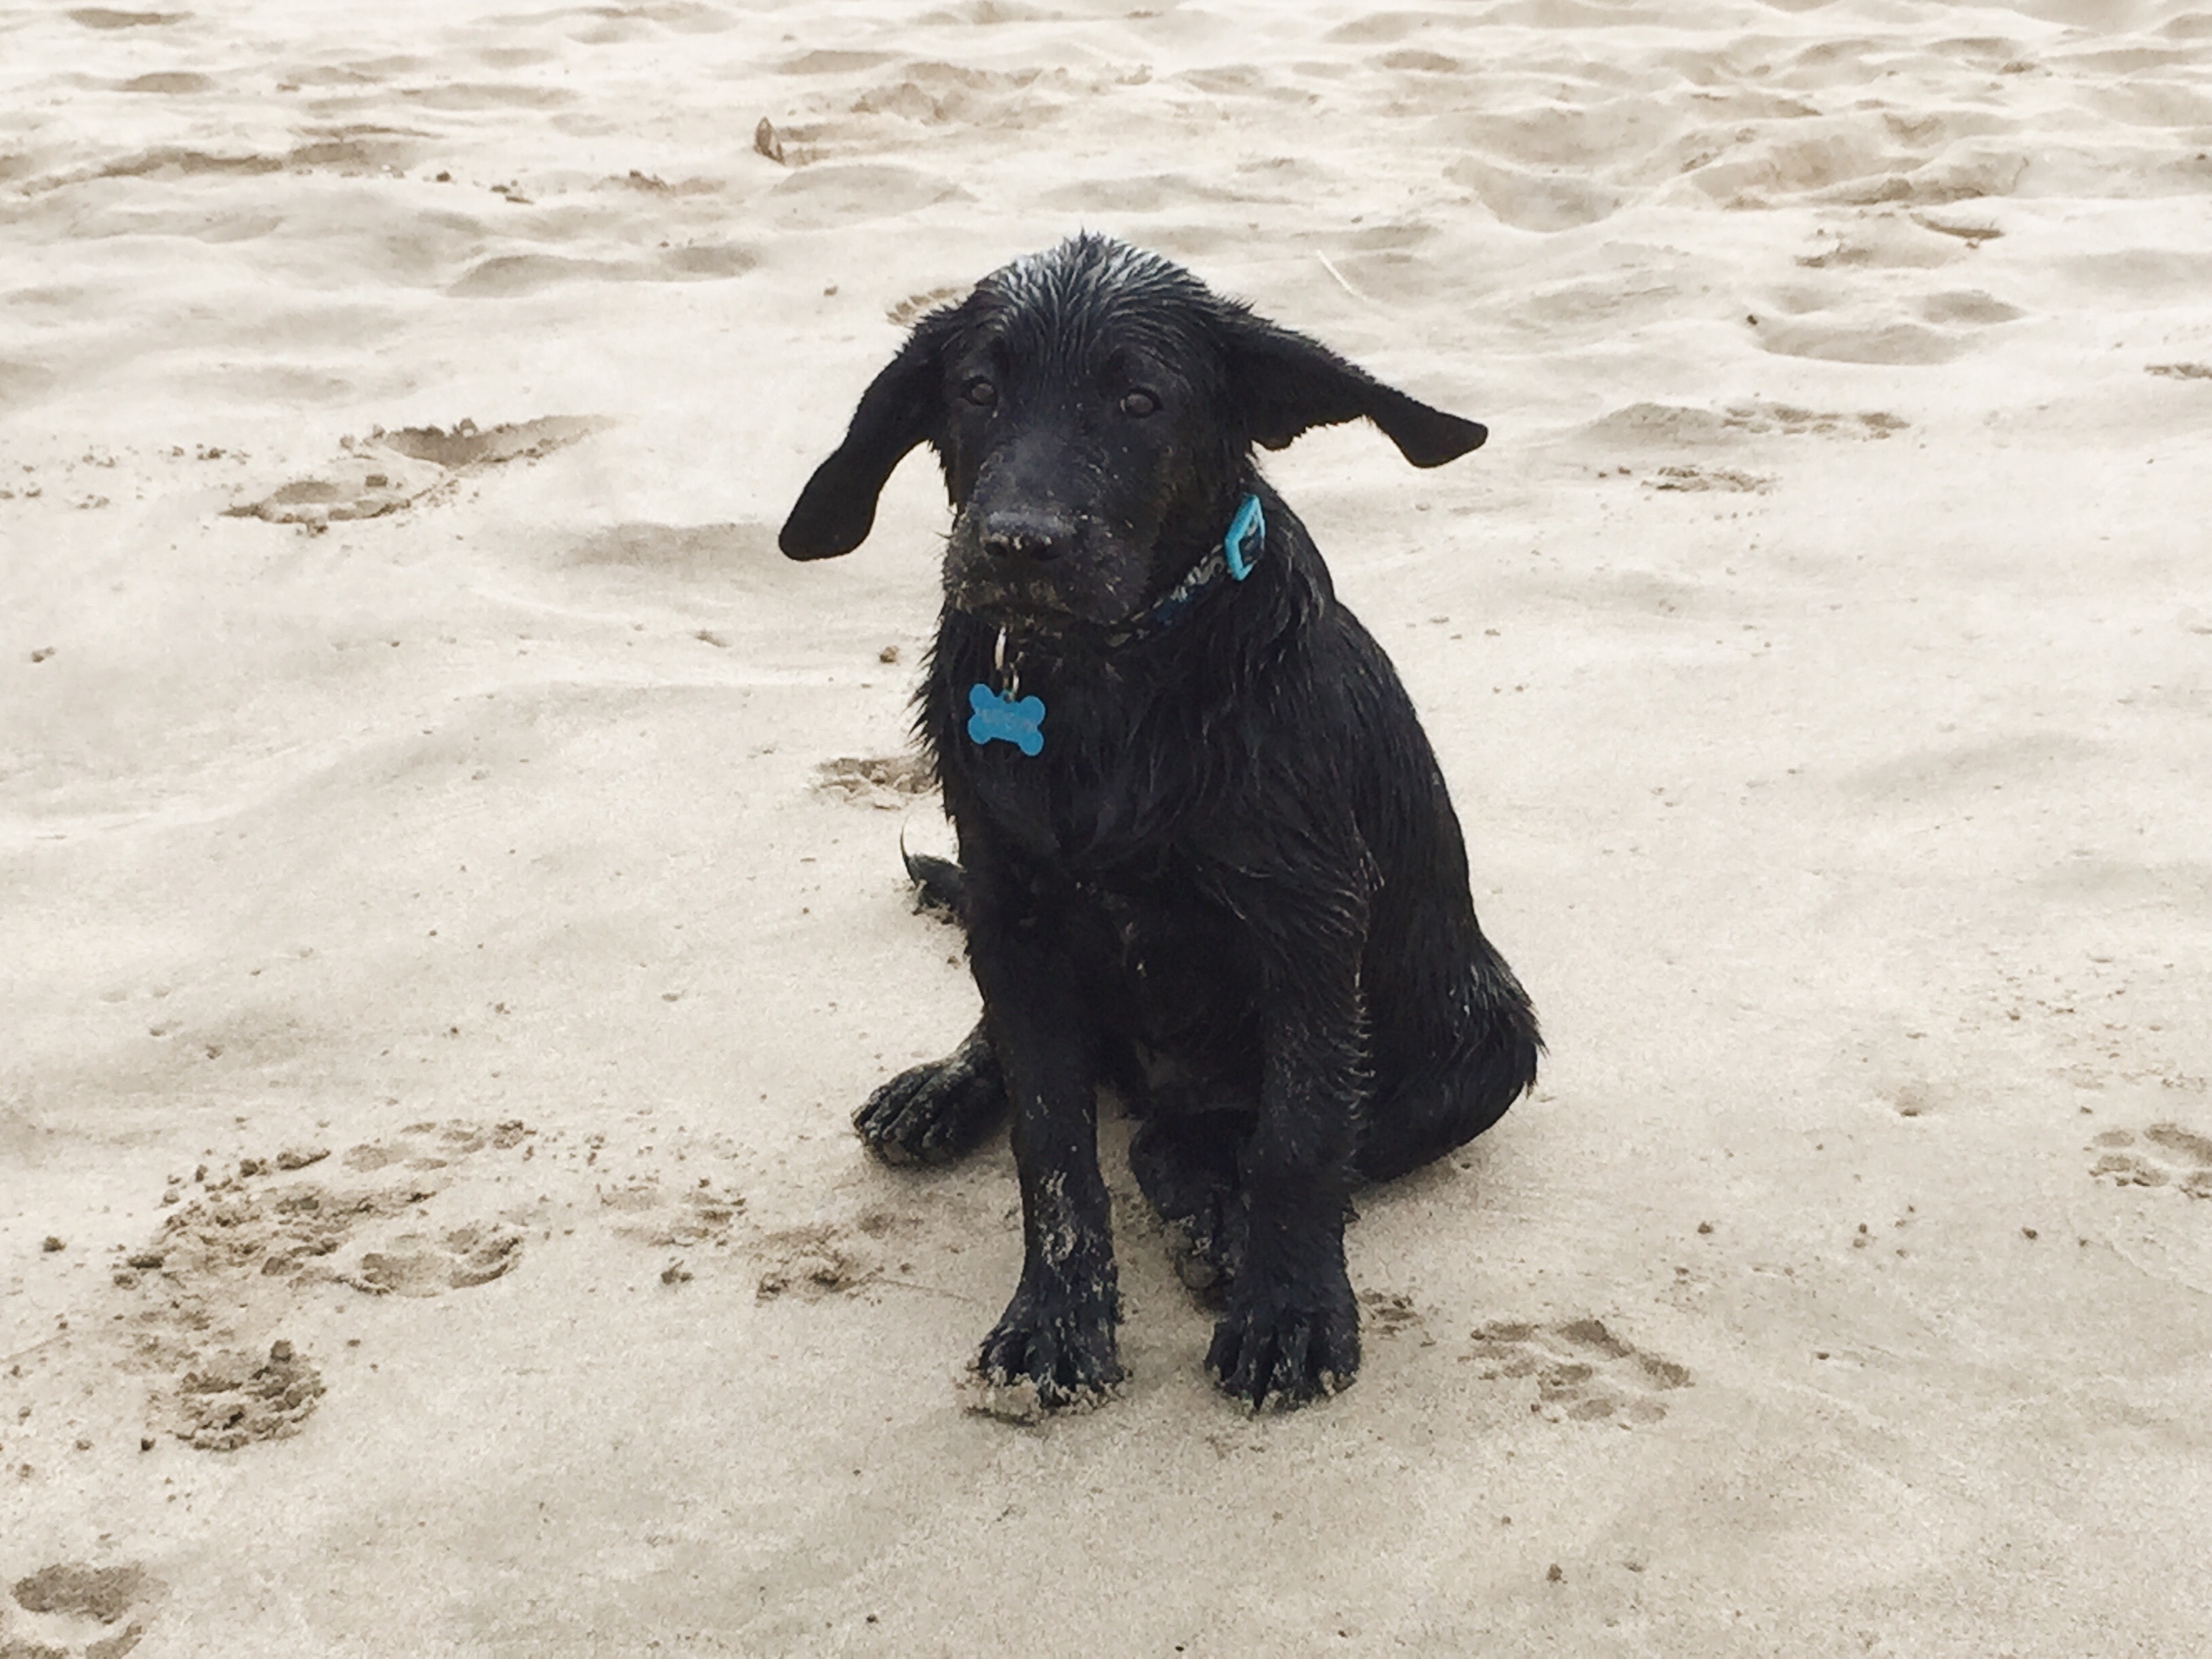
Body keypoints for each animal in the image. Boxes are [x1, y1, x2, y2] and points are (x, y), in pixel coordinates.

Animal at [778, 237, 1539, 1415]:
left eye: (1141, 401)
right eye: (977, 391)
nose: (1017, 546)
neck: (1108, 680)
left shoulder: (1313, 926)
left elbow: (1302, 1134)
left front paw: (1289, 1312)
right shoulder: (1016, 919)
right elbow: (1052, 1141)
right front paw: (1054, 1321)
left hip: (1486, 1039)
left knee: (1223, 1135)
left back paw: (1209, 1207)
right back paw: (947, 1091)